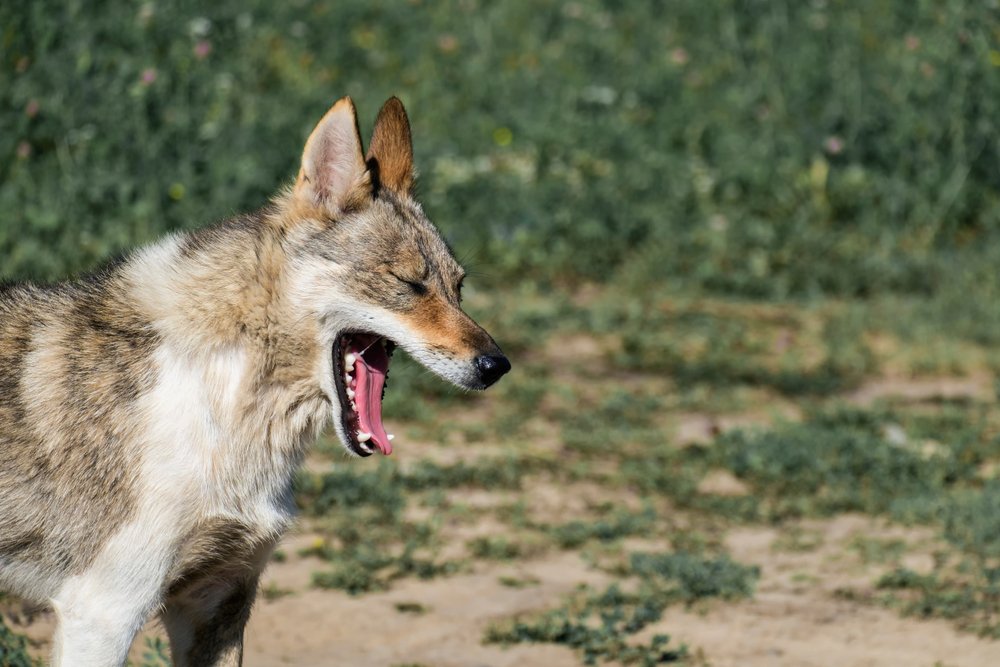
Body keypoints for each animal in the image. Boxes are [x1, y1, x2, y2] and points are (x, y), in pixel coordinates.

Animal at [0, 96, 512, 664]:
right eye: (409, 283)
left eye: (458, 288)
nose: (496, 365)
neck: (228, 403)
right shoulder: (104, 612)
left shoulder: (217, 602)